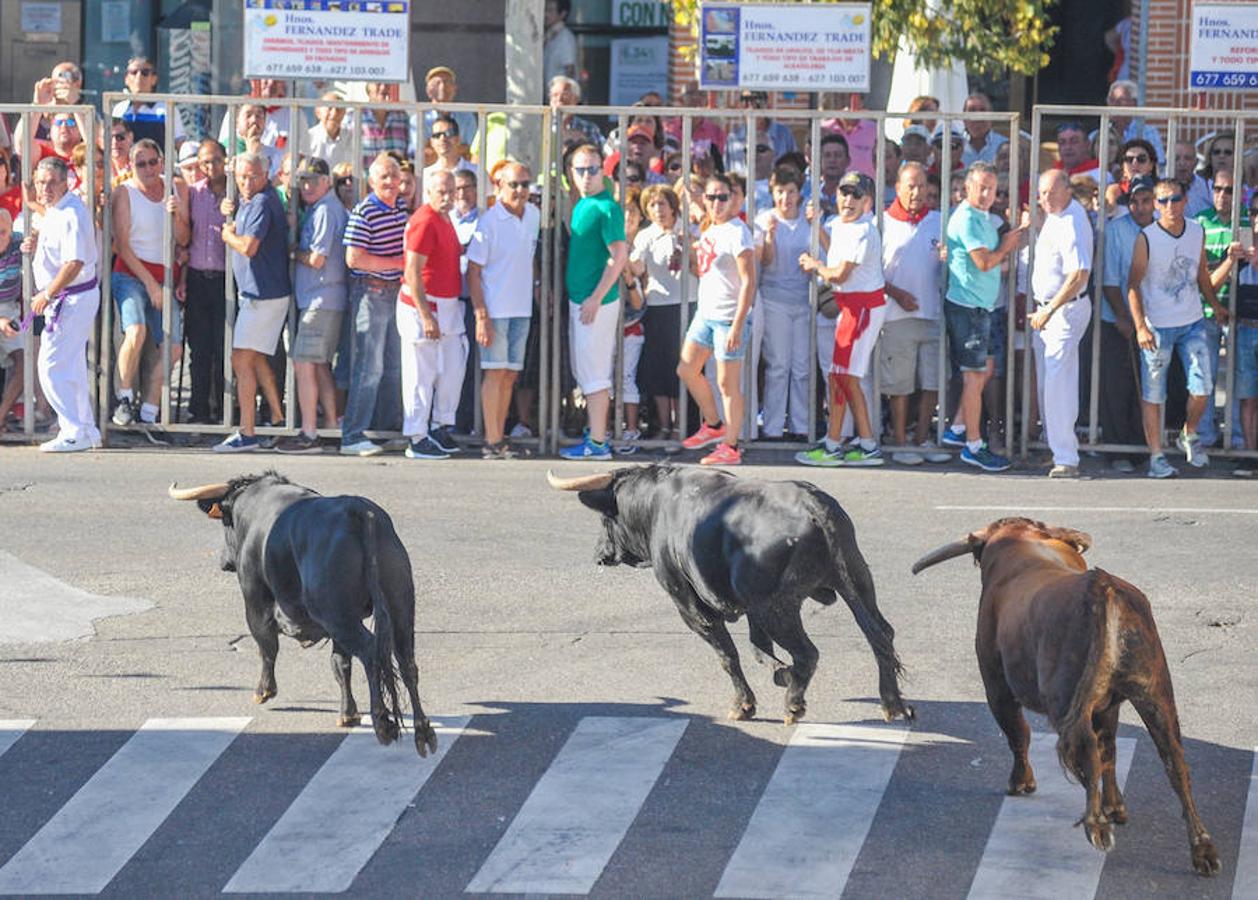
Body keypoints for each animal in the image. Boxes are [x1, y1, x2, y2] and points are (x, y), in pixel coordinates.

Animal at [169, 475, 437, 755]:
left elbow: (267, 646)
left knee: (371, 651)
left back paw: (383, 723)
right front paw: (348, 714)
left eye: (224, 521)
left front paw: (264, 691)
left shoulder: (255, 601)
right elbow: (340, 664)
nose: (223, 561)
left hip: (339, 615)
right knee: (405, 659)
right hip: (398, 603)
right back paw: (423, 731)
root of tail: (360, 512)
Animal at [551, 465, 915, 725]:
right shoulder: (749, 607)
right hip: (858, 582)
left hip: (777, 608)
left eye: (604, 518)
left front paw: (744, 704)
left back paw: (793, 705)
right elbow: (758, 647)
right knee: (881, 635)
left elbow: (728, 655)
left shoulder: (689, 605)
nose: (599, 554)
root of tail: (813, 505)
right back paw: (893, 704)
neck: (656, 504)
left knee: (808, 653)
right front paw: (778, 672)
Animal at [915, 518, 1217, 876]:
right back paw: (1201, 848)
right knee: (1173, 760)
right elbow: (1110, 749)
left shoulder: (996, 687)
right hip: (1155, 691)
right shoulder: (1109, 704)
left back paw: (1096, 825)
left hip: (1066, 700)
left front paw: (1021, 782)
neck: (1022, 545)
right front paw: (1116, 807)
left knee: (1087, 751)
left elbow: (1019, 734)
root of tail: (1104, 587)